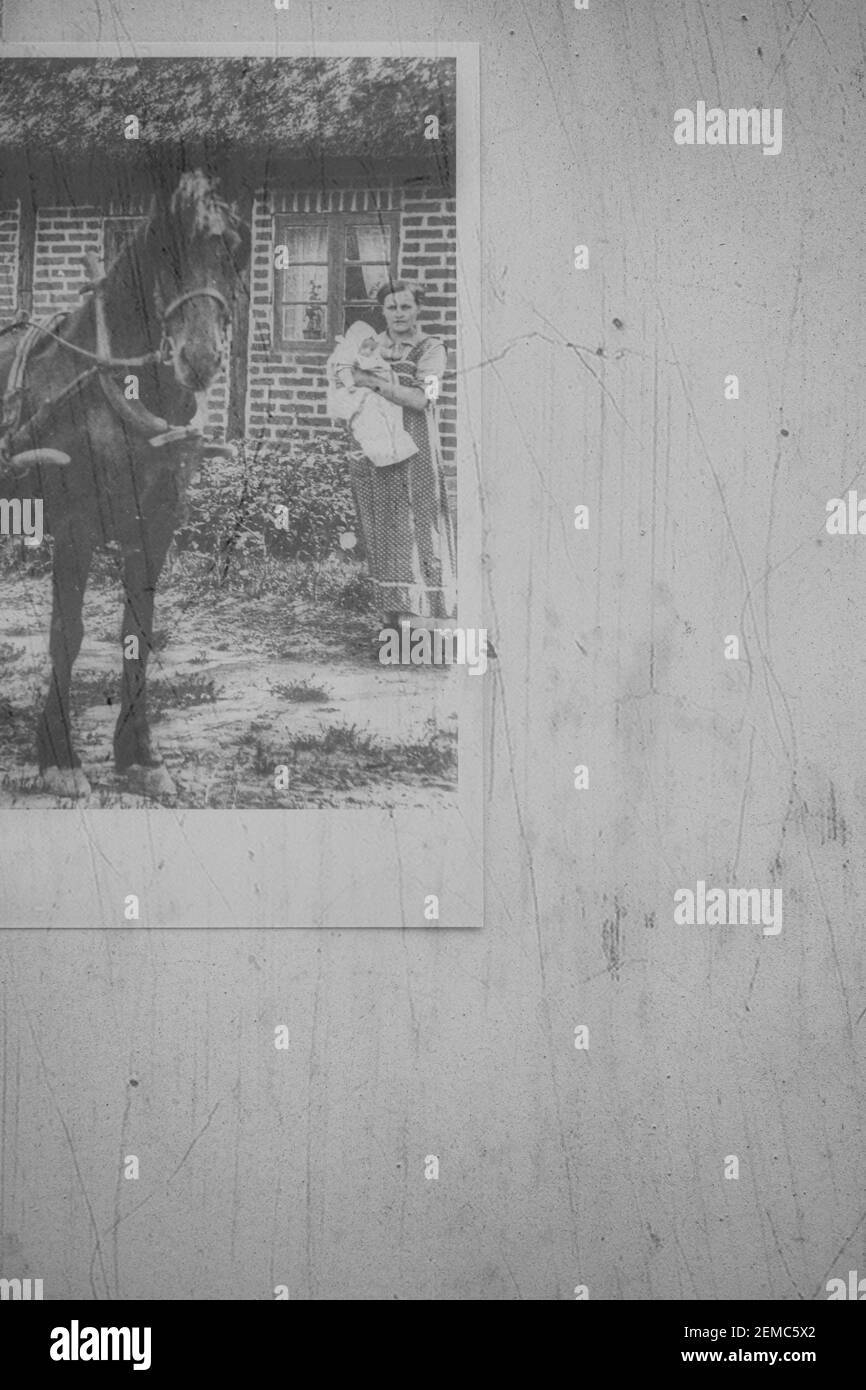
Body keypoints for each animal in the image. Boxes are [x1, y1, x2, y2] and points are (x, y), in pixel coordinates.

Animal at [0, 172, 250, 800]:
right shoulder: (76, 525)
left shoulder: (156, 527)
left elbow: (138, 630)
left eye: (236, 250)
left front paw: (139, 755)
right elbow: (68, 632)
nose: (200, 358)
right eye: (165, 251)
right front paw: (59, 758)